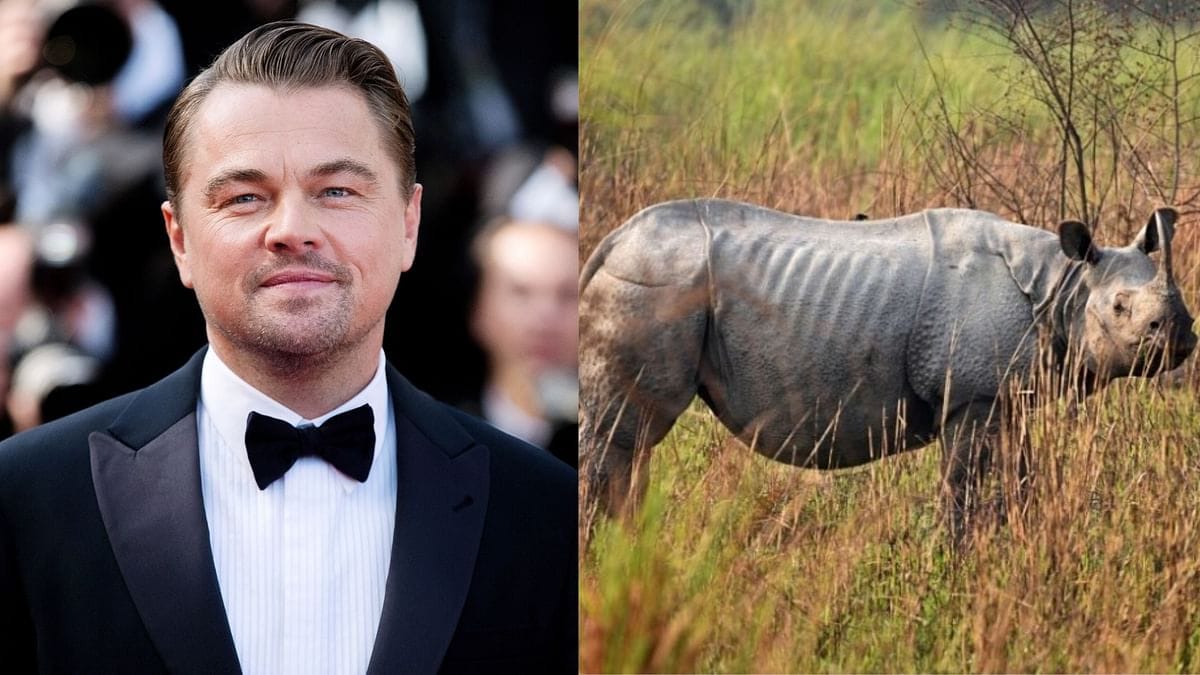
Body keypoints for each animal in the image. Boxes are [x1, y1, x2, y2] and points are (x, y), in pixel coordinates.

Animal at [579, 199, 1196, 536]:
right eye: (1120, 308)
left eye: (1183, 301)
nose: (1180, 337)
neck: (1062, 284)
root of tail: (612, 242)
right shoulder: (970, 394)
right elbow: (961, 485)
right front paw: (955, 563)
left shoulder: (1003, 395)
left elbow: (1019, 477)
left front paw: (1016, 542)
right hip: (654, 283)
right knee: (624, 435)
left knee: (630, 446)